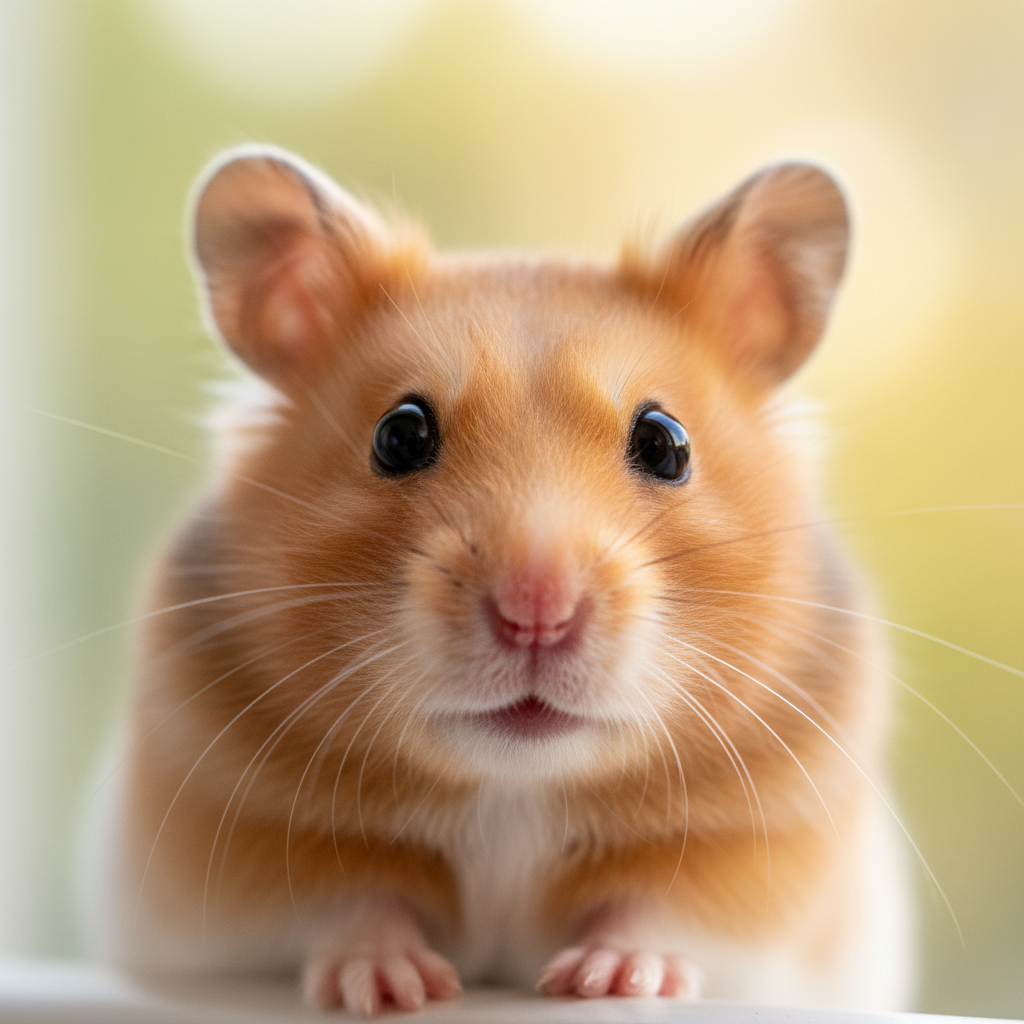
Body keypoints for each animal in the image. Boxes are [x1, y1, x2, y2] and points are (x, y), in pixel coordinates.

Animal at [86, 146, 913, 1016]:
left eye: (665, 443)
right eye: (400, 434)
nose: (536, 613)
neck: (513, 789)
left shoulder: (758, 859)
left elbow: (658, 910)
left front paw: (613, 980)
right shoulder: (239, 836)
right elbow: (352, 905)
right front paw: (391, 987)